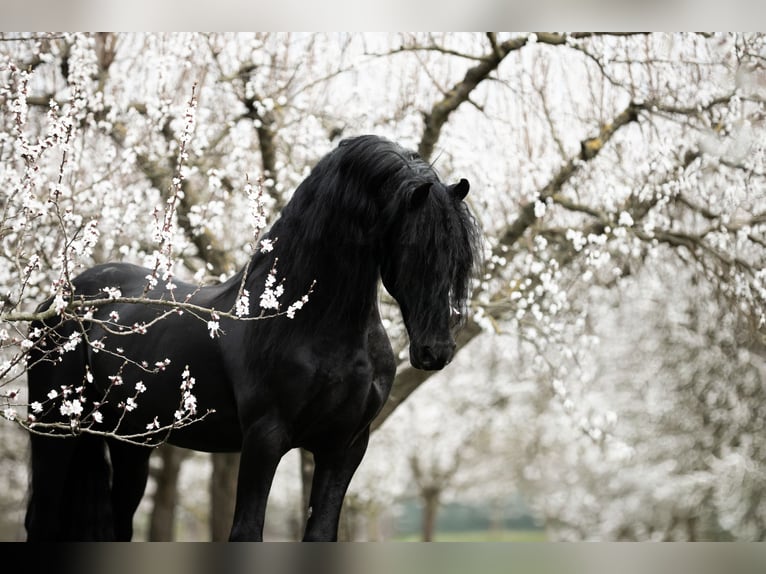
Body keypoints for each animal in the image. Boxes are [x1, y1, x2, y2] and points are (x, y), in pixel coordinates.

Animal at [24, 134, 481, 541]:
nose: (436, 351)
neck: (304, 321)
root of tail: (62, 298)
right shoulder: (265, 438)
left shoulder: (345, 447)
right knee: (40, 520)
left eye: (459, 257)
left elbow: (321, 534)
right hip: (55, 432)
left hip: (130, 441)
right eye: (415, 247)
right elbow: (246, 532)